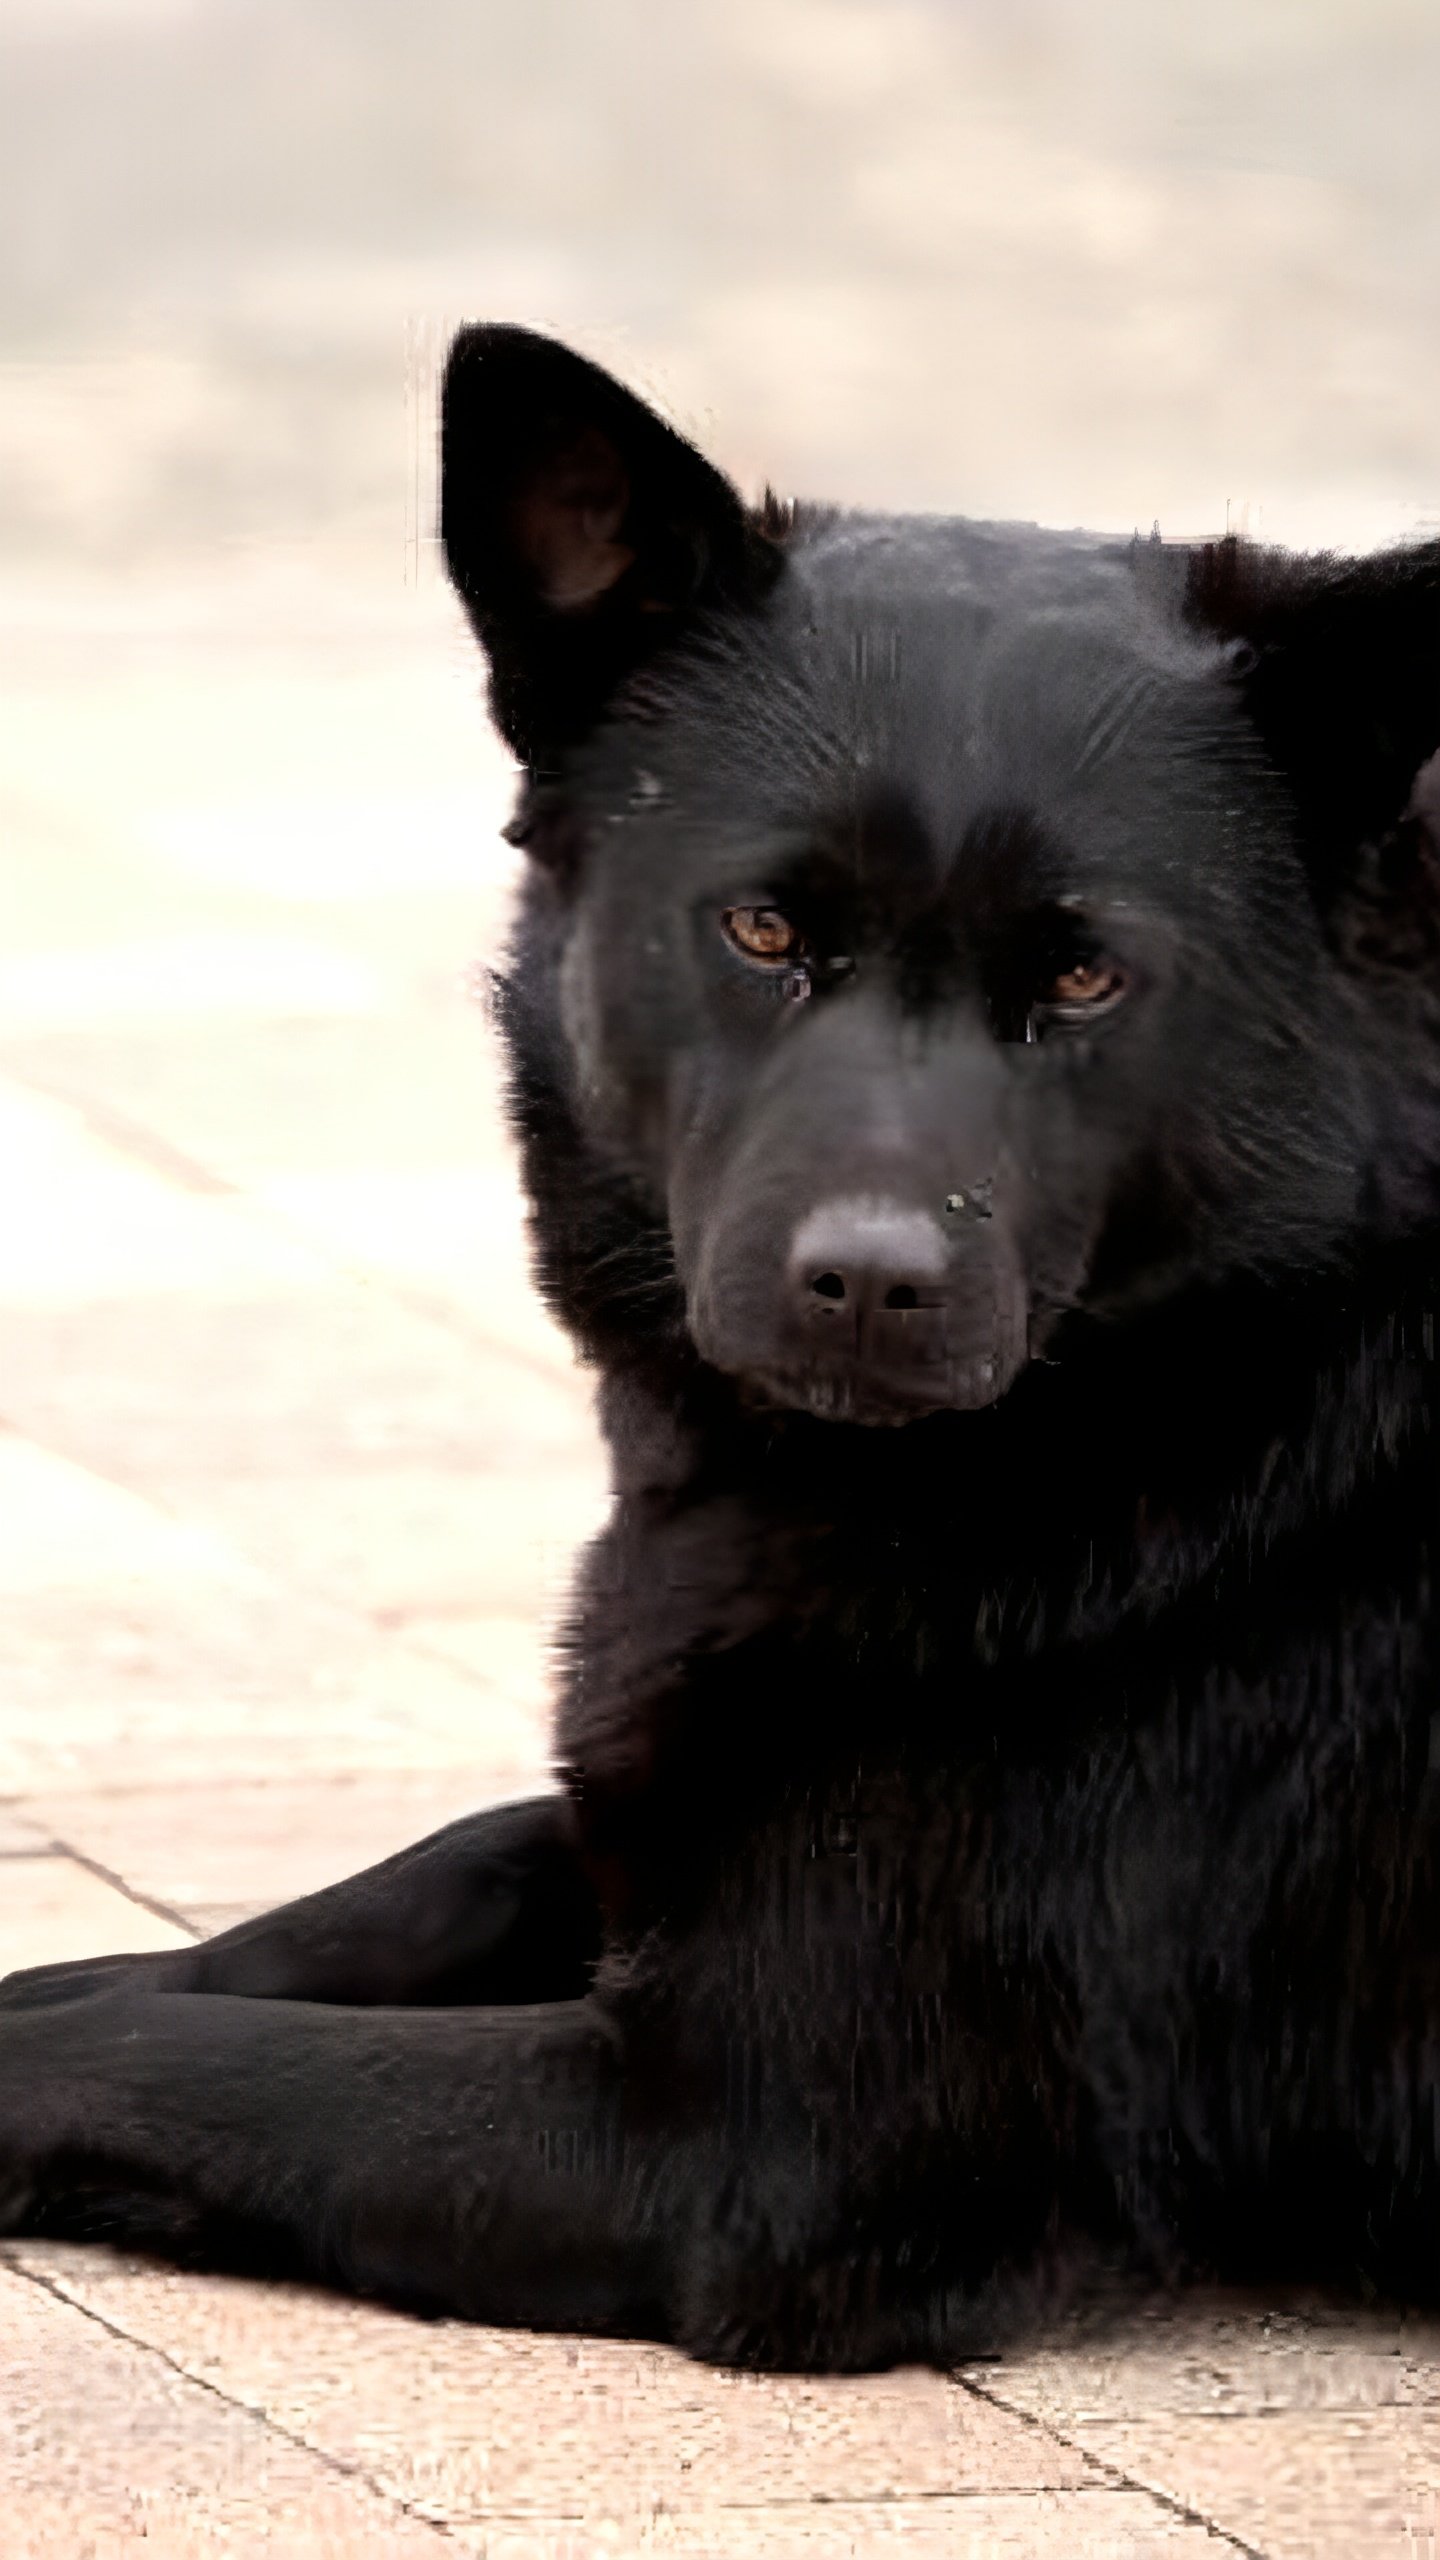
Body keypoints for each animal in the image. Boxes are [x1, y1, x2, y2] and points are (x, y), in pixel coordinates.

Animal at [2, 330, 1434, 2365]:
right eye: (764, 927)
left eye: (1084, 975)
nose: (872, 1282)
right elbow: (442, 1863)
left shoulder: (739, 2145)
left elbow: (176, 2056)